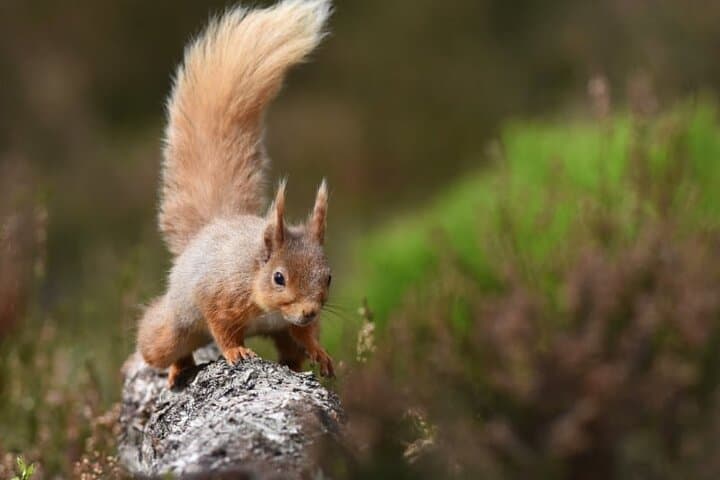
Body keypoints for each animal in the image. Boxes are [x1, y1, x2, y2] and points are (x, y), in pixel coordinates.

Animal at [136, 0, 335, 388]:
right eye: (278, 277)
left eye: (329, 276)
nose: (308, 311)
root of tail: (207, 230)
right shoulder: (219, 294)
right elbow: (222, 327)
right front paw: (235, 351)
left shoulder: (292, 325)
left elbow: (304, 336)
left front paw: (320, 352)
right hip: (176, 324)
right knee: (162, 343)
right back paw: (177, 368)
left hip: (280, 335)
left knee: (289, 350)